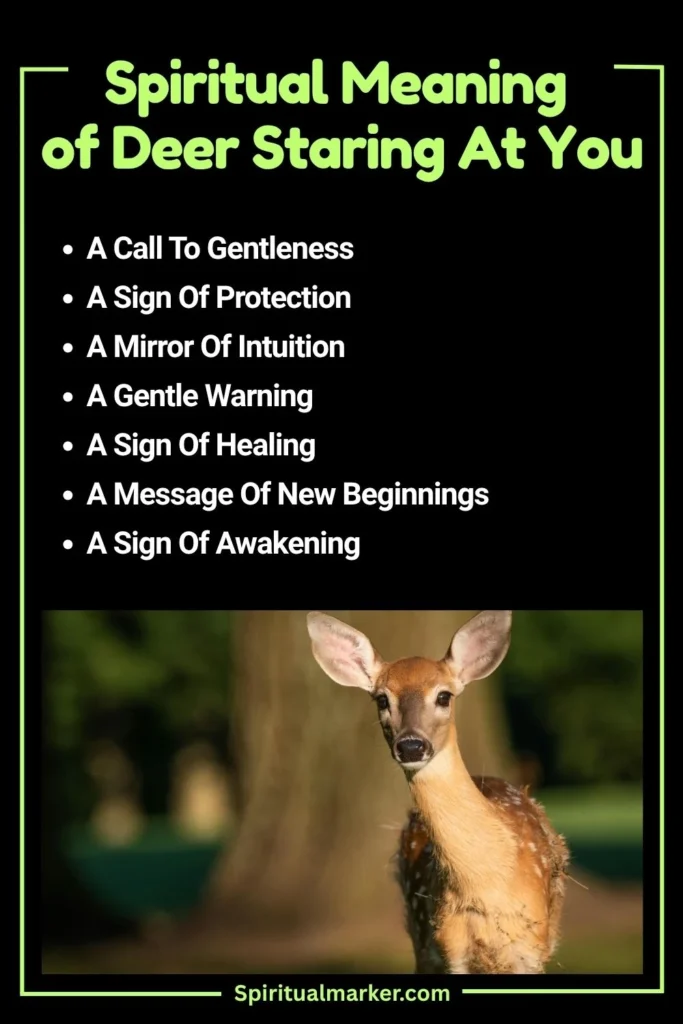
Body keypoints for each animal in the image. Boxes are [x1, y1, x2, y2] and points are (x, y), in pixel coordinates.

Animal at [306, 610, 570, 975]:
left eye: (444, 696)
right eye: (382, 699)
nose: (411, 746)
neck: (484, 888)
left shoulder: (530, 948)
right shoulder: (450, 947)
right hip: (420, 937)